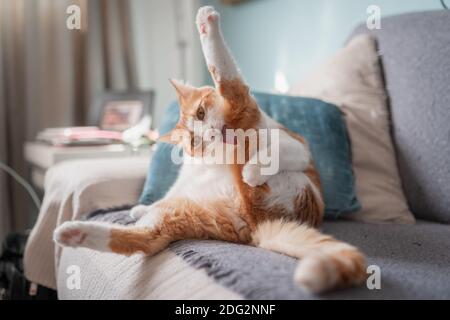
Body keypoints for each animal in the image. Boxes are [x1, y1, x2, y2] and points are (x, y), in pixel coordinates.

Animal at [54, 5, 368, 296]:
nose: (213, 134)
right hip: (232, 135)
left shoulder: (297, 146)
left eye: (202, 113)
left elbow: (274, 151)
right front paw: (140, 207)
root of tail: (254, 220)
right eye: (194, 141)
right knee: (230, 81)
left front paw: (254, 167)